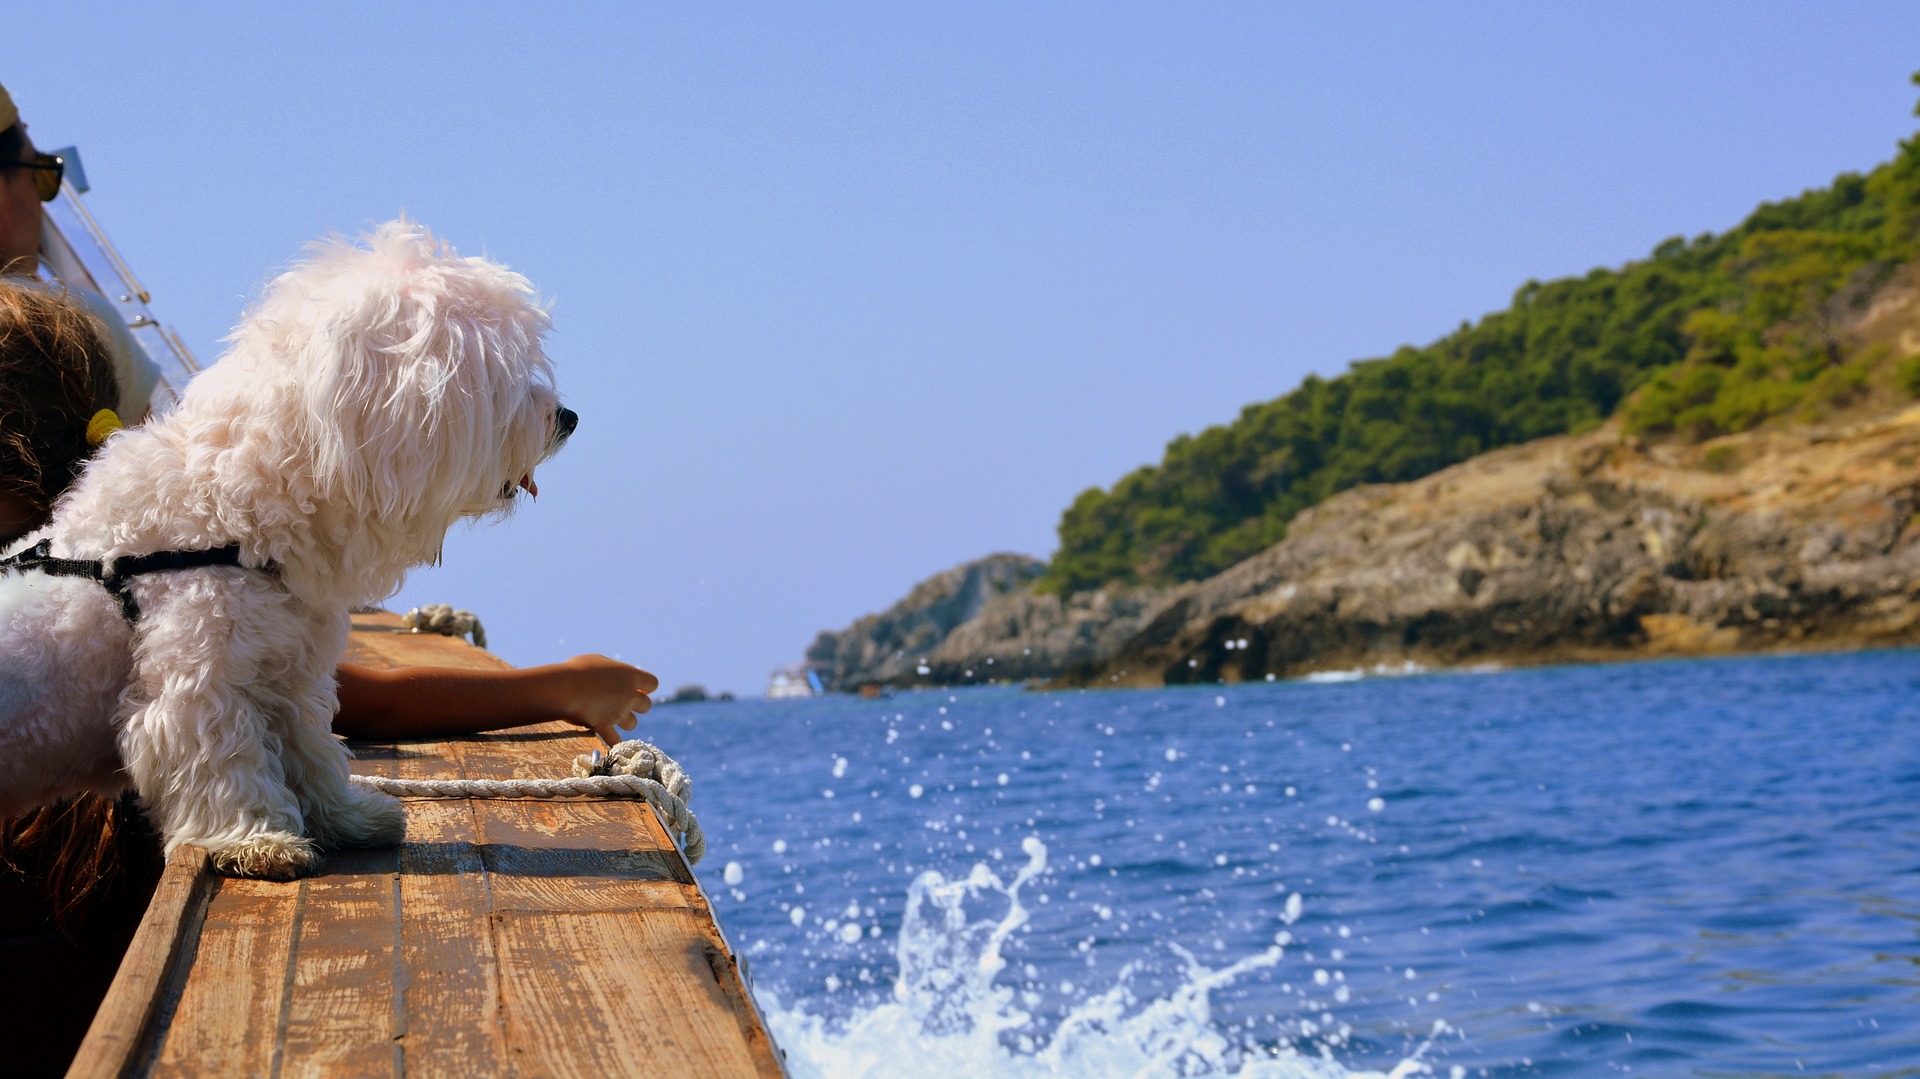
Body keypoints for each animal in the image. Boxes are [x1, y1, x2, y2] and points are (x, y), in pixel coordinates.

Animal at [0, 220, 568, 875]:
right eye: (500, 378)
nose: (570, 417)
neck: (231, 512)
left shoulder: (290, 671)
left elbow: (310, 749)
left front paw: (347, 817)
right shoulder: (200, 679)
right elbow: (223, 759)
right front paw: (255, 838)